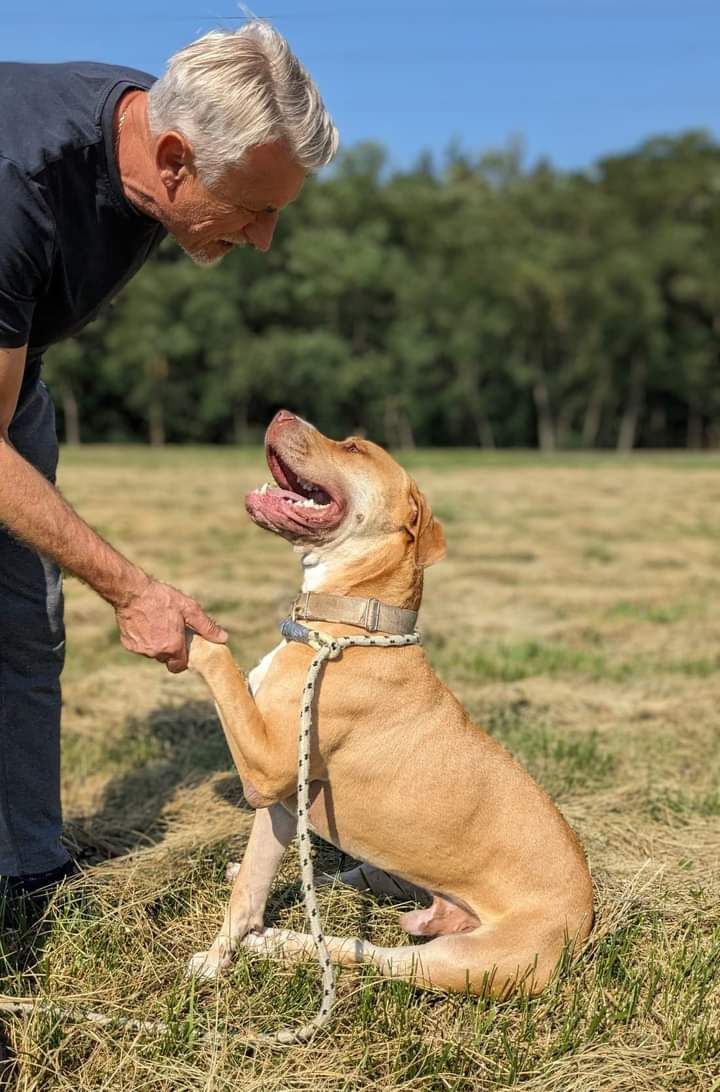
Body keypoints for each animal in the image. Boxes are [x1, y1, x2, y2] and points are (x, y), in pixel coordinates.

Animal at [189, 410, 594, 1000]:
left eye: (354, 448)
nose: (282, 414)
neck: (354, 622)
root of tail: (586, 924)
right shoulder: (282, 802)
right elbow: (249, 891)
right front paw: (220, 957)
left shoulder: (265, 768)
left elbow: (217, 657)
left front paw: (181, 625)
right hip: (392, 873)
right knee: (336, 879)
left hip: (457, 959)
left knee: (375, 956)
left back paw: (283, 944)